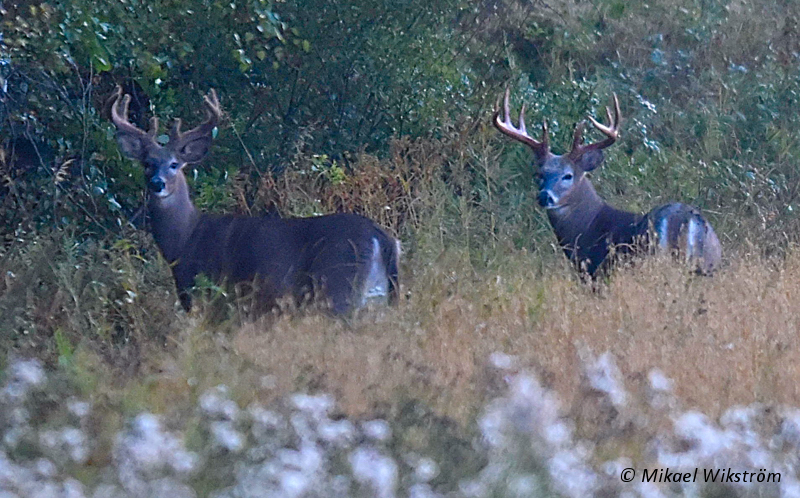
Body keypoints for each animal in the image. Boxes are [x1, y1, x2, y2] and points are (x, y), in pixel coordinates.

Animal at [111, 88, 398, 316]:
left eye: (174, 164)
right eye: (147, 163)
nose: (157, 183)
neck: (185, 240)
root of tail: (383, 239)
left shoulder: (211, 295)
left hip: (339, 288)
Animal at [494, 89, 724, 276]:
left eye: (568, 175)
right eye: (539, 174)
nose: (544, 196)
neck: (589, 226)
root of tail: (687, 220)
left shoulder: (595, 271)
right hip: (706, 266)